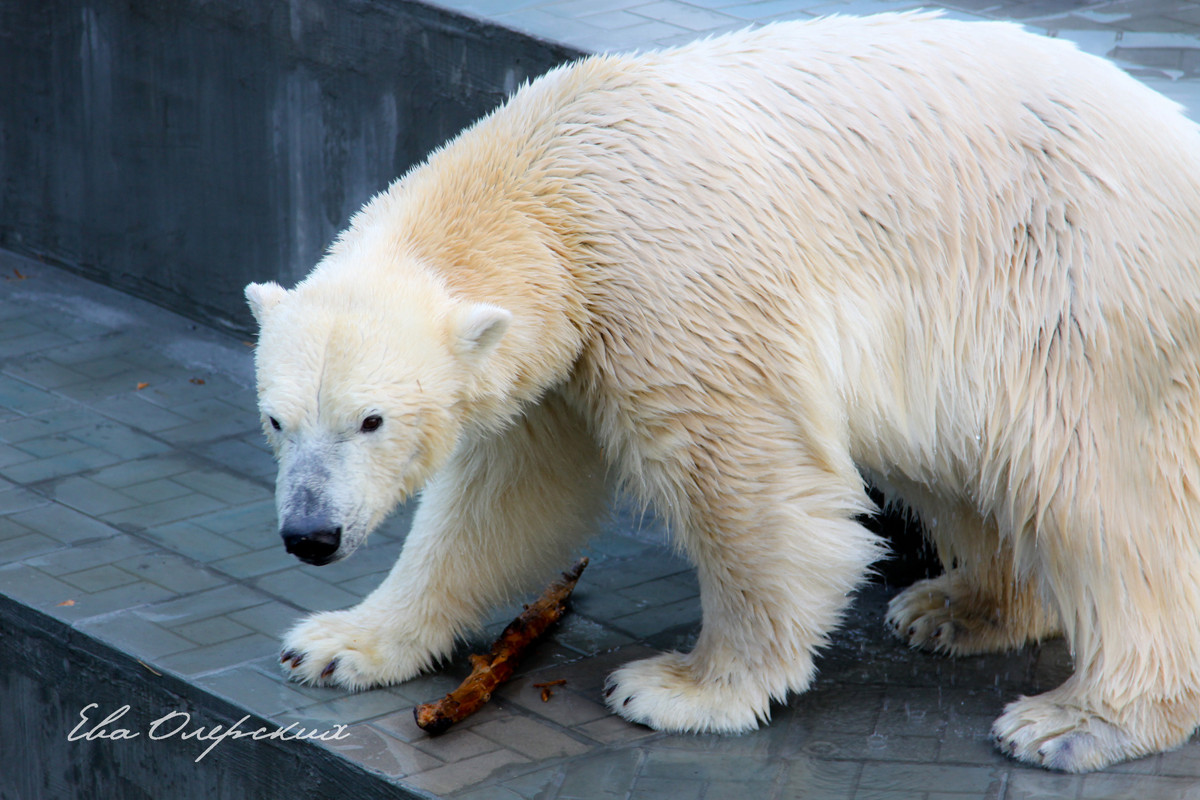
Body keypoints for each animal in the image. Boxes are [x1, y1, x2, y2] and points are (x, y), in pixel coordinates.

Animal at [241, 12, 1200, 772]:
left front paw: (682, 688)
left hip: (1076, 294)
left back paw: (1079, 719)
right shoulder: (563, 350)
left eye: (372, 420)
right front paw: (338, 643)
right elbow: (507, 500)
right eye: (277, 421)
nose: (310, 535)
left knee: (1099, 490)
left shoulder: (665, 279)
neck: (551, 178)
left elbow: (751, 485)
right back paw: (957, 606)